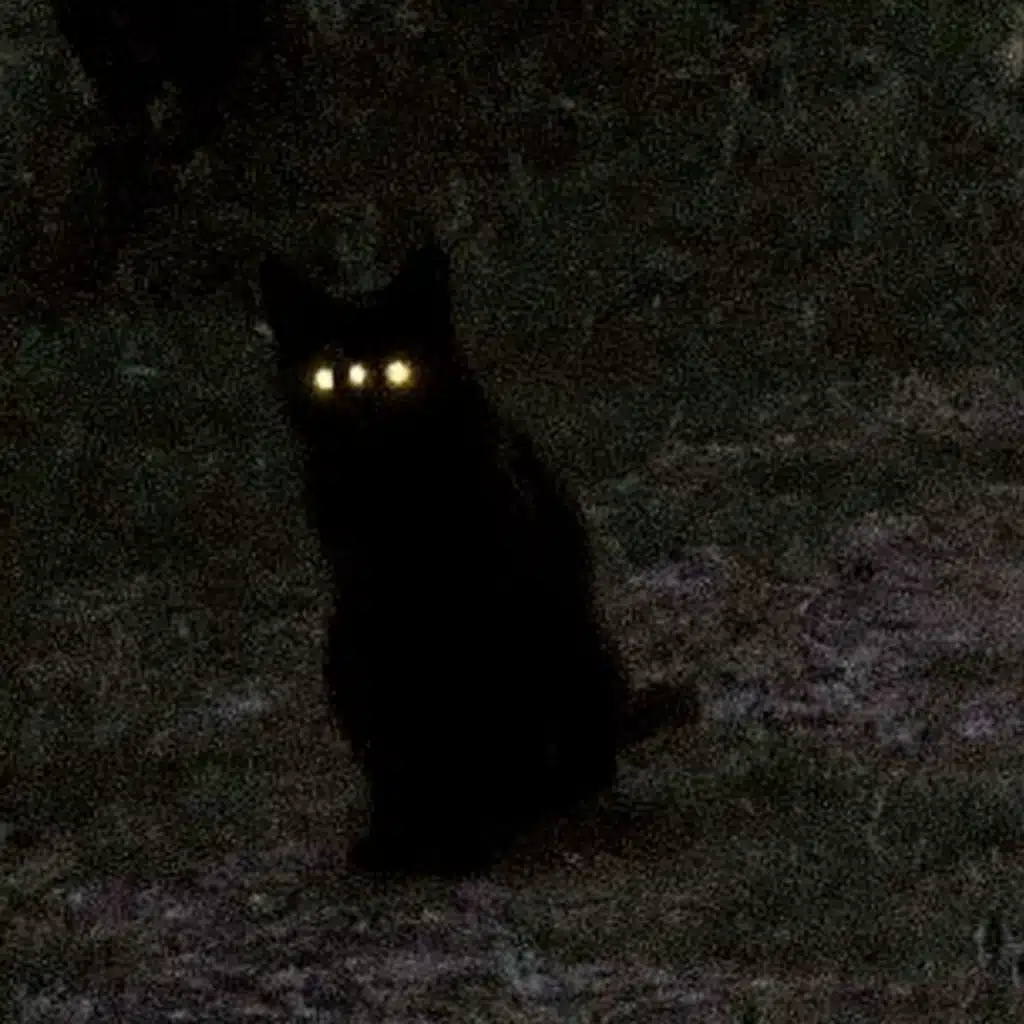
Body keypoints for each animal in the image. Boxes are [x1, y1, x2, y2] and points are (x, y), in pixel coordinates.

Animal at [259, 242, 696, 874]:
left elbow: (482, 728)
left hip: (578, 651)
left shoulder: (494, 607)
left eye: (397, 370)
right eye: (323, 378)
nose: (361, 405)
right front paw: (397, 834)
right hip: (340, 647)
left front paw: (468, 839)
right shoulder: (373, 617)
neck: (390, 498)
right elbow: (400, 745)